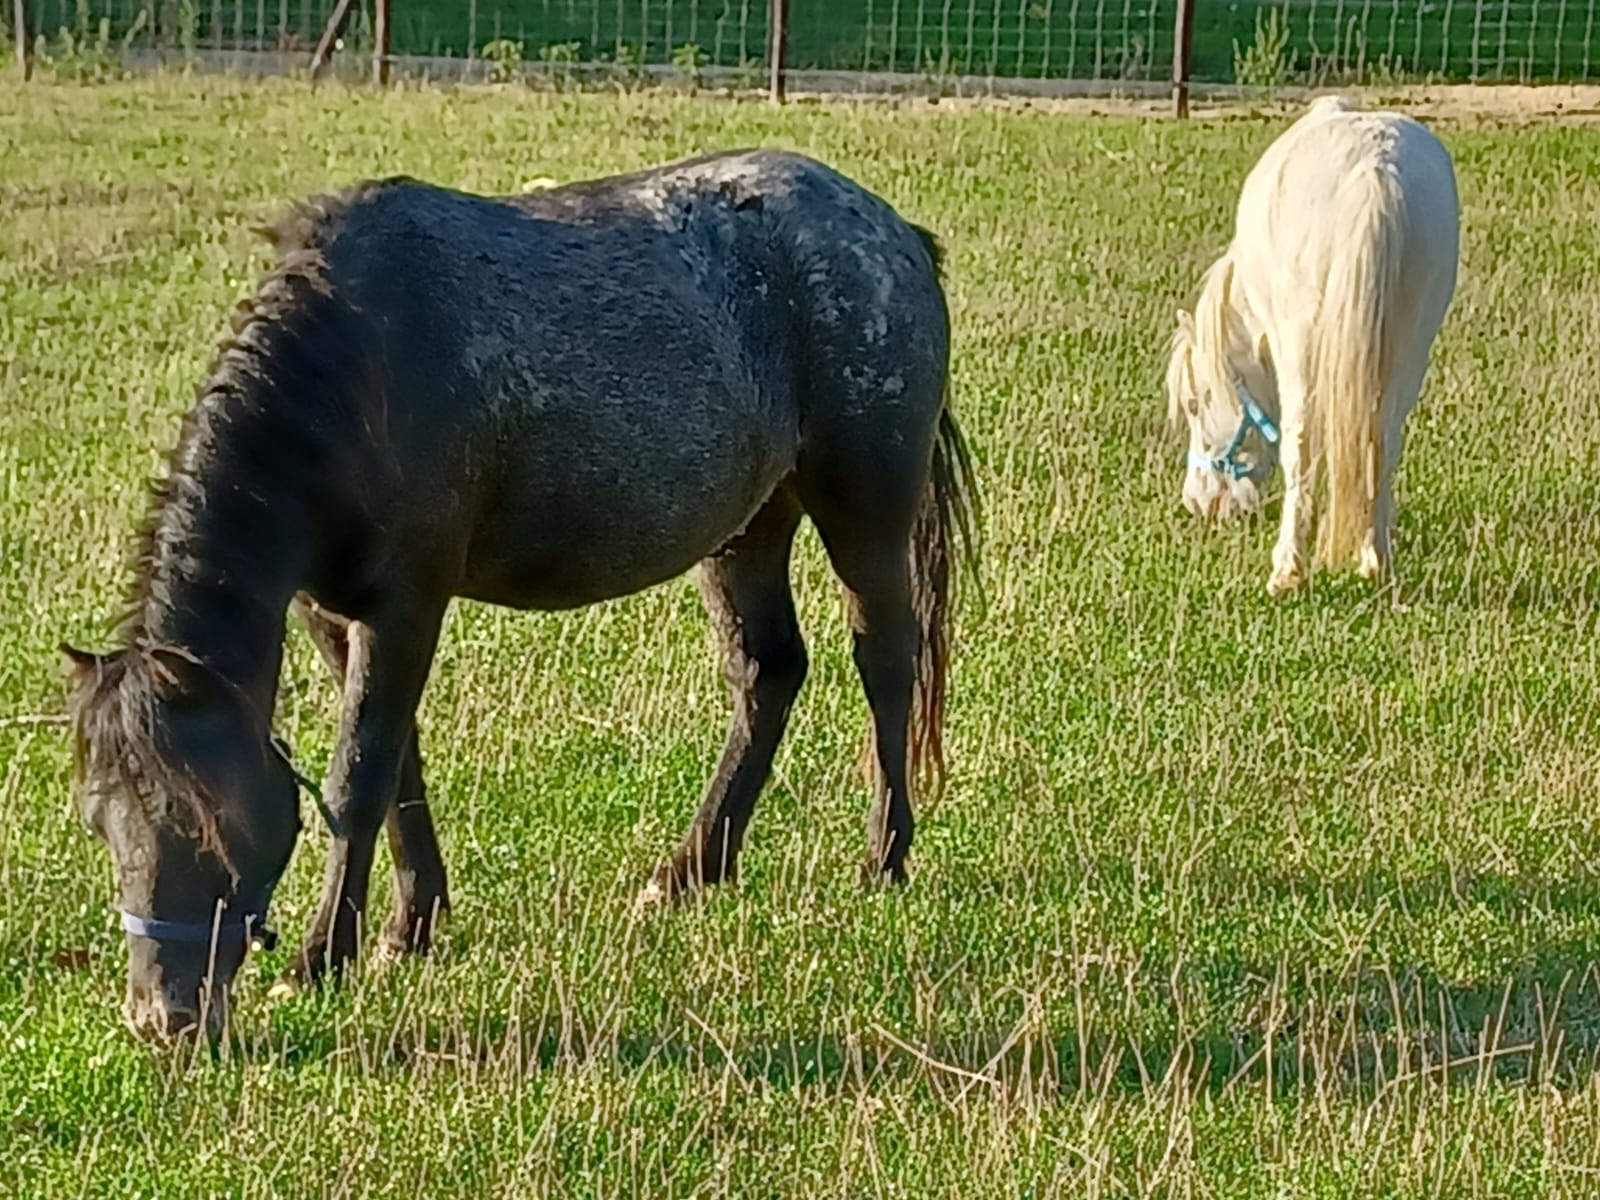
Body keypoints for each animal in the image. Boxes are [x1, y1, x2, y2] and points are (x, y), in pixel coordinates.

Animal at [59, 150, 972, 1049]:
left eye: (208, 819)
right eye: (99, 821)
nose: (162, 1020)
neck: (357, 367)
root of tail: (892, 230)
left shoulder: (407, 603)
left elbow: (358, 777)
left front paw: (323, 958)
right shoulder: (333, 614)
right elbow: (399, 765)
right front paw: (411, 927)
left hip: (864, 514)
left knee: (887, 665)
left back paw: (883, 859)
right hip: (748, 528)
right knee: (768, 675)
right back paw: (690, 871)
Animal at [1164, 95, 1465, 598]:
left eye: (1194, 403)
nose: (1199, 503)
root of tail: (1375, 168)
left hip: (1302, 345)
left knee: (1300, 447)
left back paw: (1288, 570)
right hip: (1410, 346)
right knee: (1384, 442)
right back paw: (1375, 561)